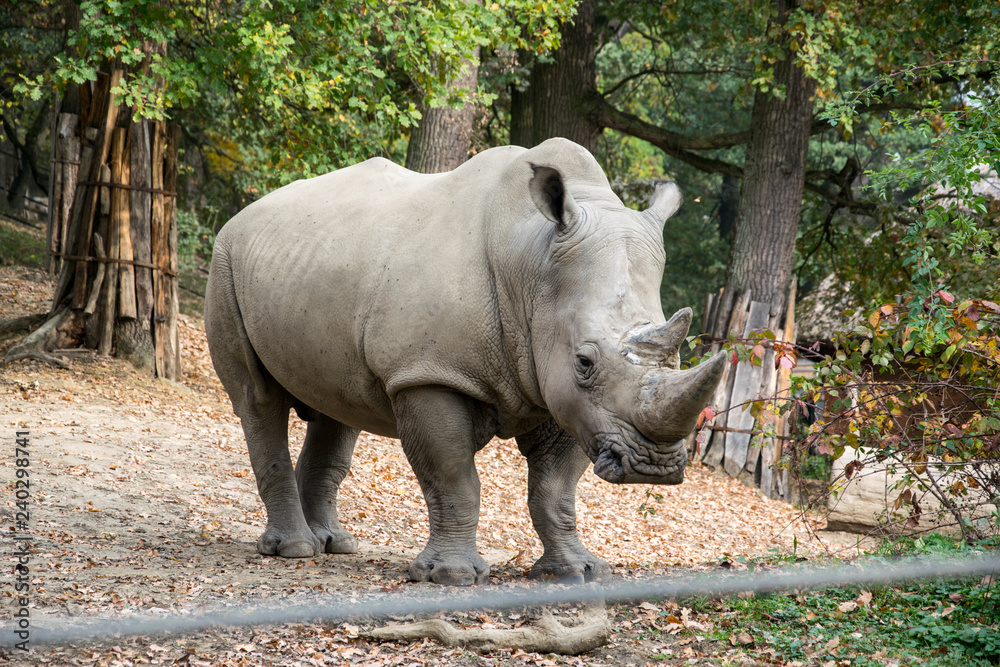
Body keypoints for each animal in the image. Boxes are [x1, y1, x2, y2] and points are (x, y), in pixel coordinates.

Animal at [205, 137, 726, 585]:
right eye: (584, 361)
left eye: (678, 355)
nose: (652, 467)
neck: (532, 266)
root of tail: (246, 212)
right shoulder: (429, 373)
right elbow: (453, 477)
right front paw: (451, 577)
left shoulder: (566, 396)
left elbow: (555, 490)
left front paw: (577, 573)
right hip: (225, 260)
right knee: (257, 399)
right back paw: (295, 551)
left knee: (337, 407)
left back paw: (335, 545)